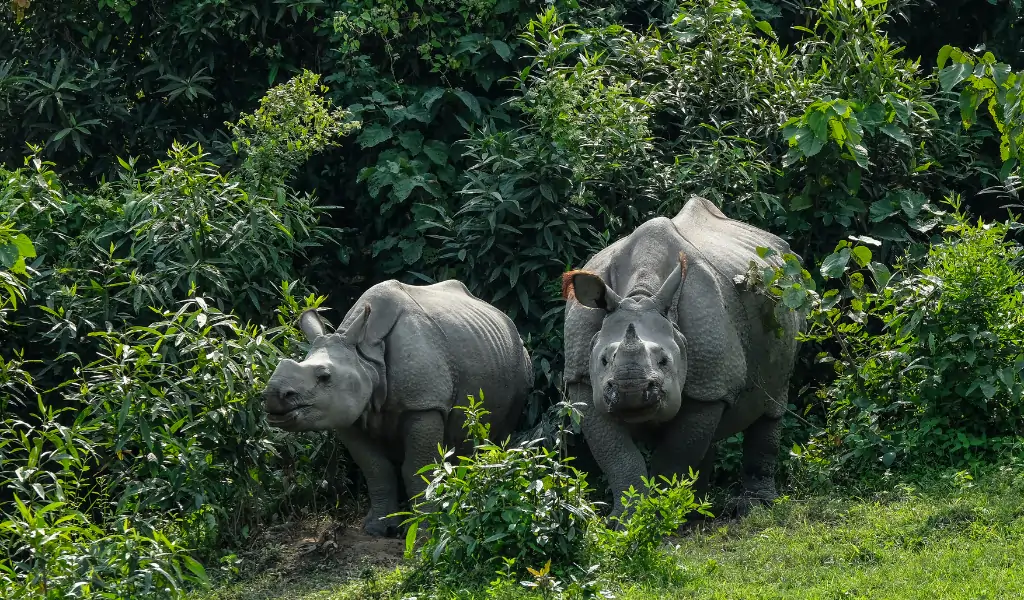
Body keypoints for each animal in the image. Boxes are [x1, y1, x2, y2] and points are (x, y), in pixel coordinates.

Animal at [262, 279, 533, 536]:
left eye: (325, 377)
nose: (273, 396)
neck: (367, 358)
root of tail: (504, 317)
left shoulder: (424, 404)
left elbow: (416, 468)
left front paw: (425, 530)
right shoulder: (348, 412)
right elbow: (376, 469)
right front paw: (377, 529)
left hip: (520, 358)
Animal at [561, 196, 805, 520]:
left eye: (665, 361)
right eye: (603, 360)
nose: (631, 390)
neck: (640, 295)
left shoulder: (709, 385)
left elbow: (675, 454)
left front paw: (663, 514)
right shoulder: (582, 379)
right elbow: (617, 456)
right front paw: (625, 520)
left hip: (789, 296)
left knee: (772, 405)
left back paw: (752, 508)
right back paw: (698, 510)